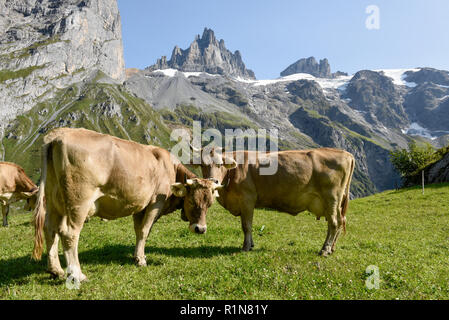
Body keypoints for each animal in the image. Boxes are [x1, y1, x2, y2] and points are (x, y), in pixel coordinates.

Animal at [31, 127, 222, 282]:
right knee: (69, 233)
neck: (169, 167)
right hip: (79, 201)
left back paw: (56, 270)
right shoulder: (155, 203)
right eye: (191, 200)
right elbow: (145, 230)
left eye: (209, 203)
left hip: (54, 200)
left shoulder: (140, 206)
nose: (200, 229)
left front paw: (136, 256)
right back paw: (77, 275)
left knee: (50, 229)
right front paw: (142, 260)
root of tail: (58, 134)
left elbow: (139, 231)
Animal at [192, 146, 354, 256]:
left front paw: (245, 247)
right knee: (341, 221)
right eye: (202, 165)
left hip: (331, 198)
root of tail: (346, 153)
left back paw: (325, 249)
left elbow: (246, 226)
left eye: (220, 164)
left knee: (334, 223)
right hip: (337, 203)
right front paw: (251, 244)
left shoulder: (247, 200)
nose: (212, 181)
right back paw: (332, 248)